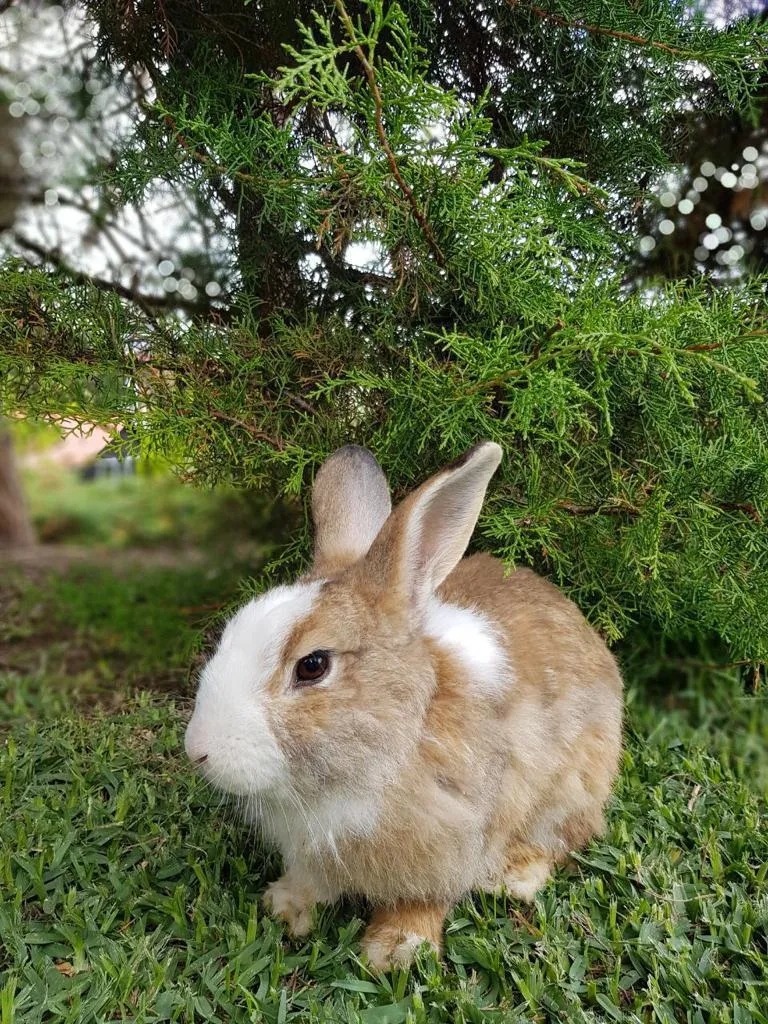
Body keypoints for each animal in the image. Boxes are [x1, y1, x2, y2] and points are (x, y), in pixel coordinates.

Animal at [185, 442, 623, 969]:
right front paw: (286, 907)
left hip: (573, 787)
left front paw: (395, 951)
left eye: (312, 665)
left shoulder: (455, 840)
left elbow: (424, 898)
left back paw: (512, 878)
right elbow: (313, 879)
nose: (198, 751)